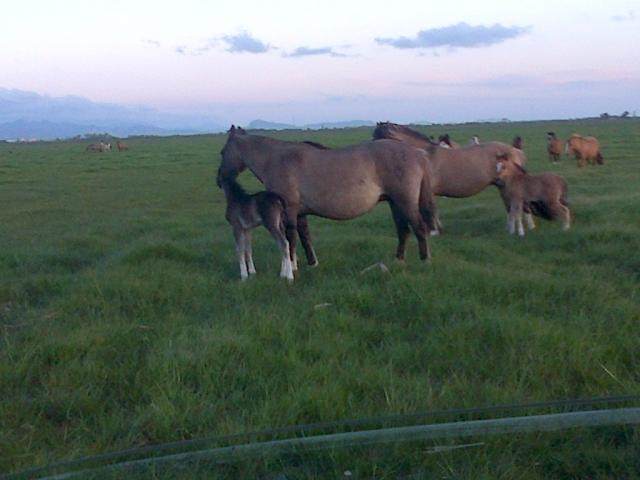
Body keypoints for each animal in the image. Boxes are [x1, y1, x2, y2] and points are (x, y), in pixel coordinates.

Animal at [218, 126, 438, 268]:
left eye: (222, 152)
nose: (219, 180)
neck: (278, 158)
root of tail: (418, 153)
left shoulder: (289, 210)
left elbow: (291, 238)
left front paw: (292, 266)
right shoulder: (299, 212)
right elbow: (304, 237)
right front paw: (311, 263)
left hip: (405, 202)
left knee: (419, 228)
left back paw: (425, 261)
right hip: (395, 203)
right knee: (403, 230)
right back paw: (398, 260)